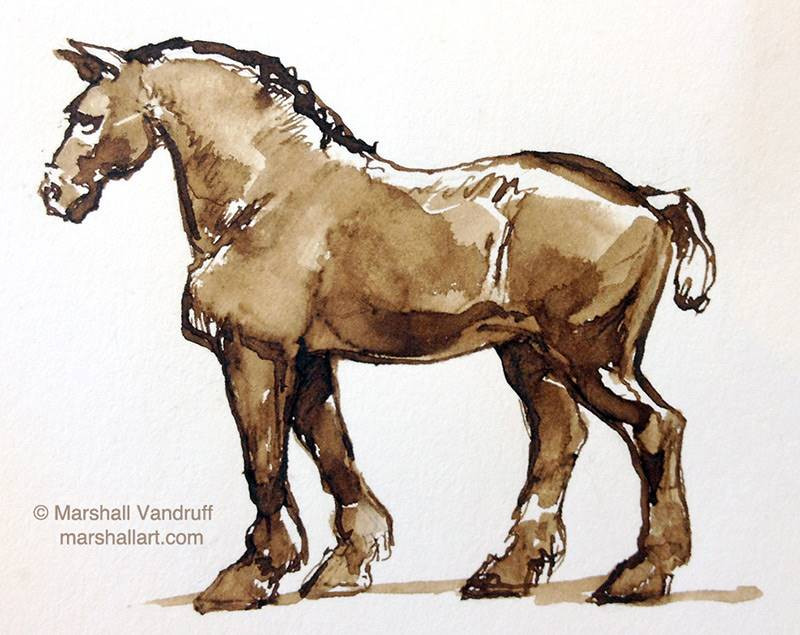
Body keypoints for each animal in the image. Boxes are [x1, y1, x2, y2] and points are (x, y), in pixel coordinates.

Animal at [40, 38, 716, 613]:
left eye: (87, 117)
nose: (53, 192)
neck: (266, 192)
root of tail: (649, 200)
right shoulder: (309, 357)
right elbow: (329, 450)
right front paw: (346, 564)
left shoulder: (257, 352)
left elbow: (265, 462)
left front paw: (250, 577)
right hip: (531, 356)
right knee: (558, 439)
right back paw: (507, 571)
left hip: (589, 356)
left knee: (656, 428)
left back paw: (640, 576)